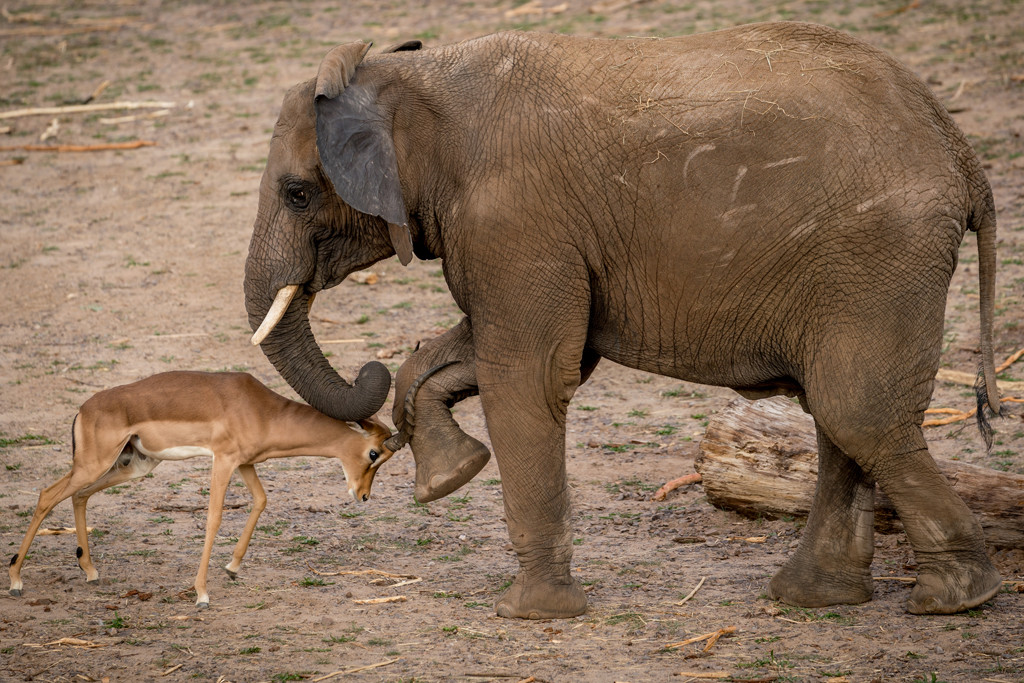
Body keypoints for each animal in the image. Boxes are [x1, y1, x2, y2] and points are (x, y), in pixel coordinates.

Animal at [9, 374, 397, 610]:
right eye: (374, 454)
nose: (363, 495)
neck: (262, 410)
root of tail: (84, 410)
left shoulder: (244, 464)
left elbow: (261, 500)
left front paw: (232, 567)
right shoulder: (223, 461)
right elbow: (213, 518)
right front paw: (202, 594)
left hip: (131, 466)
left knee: (79, 496)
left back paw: (89, 570)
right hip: (94, 464)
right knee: (47, 495)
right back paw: (15, 580)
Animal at [245, 22, 999, 618]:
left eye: (298, 194)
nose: (374, 450)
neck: (414, 77)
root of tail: (962, 152)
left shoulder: (516, 221)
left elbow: (527, 376)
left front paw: (533, 613)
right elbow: (504, 358)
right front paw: (449, 475)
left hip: (881, 255)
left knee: (856, 412)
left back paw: (956, 599)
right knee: (838, 413)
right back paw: (819, 597)